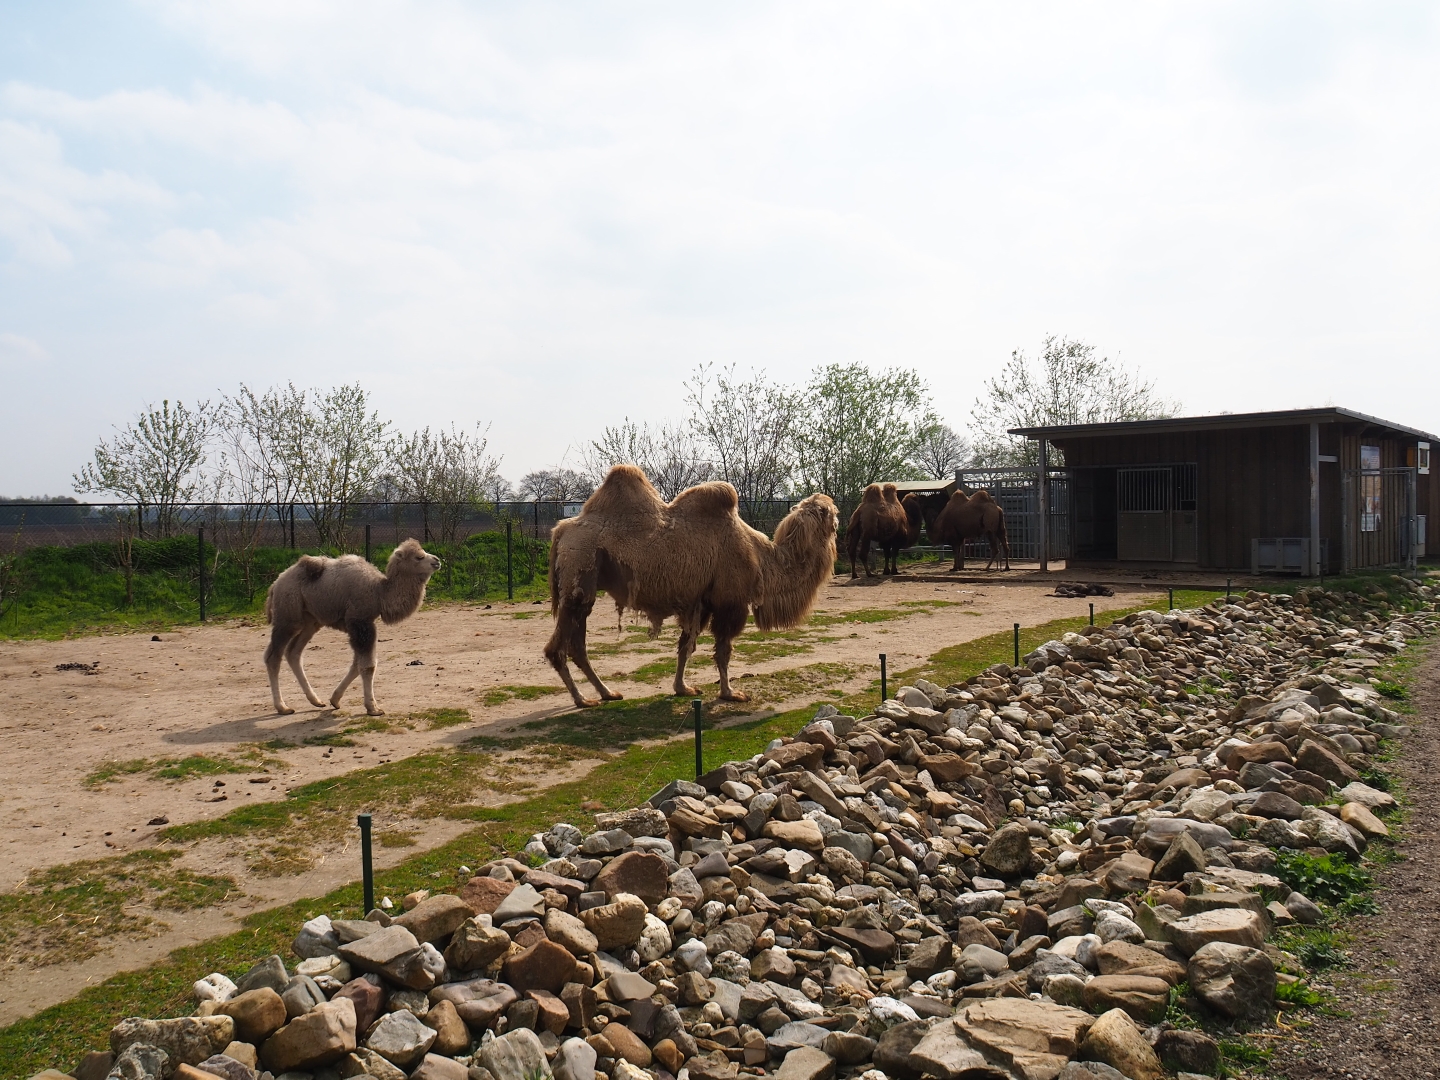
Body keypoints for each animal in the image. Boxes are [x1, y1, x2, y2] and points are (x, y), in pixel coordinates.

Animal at [263, 538, 441, 716]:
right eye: (419, 557)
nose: (437, 560)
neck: (379, 593)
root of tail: (275, 584)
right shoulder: (360, 622)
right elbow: (368, 665)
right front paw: (373, 708)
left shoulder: (358, 627)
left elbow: (357, 664)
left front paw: (335, 700)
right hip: (287, 617)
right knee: (273, 657)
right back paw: (283, 707)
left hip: (310, 621)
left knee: (294, 653)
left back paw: (316, 701)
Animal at [544, 464, 837, 708]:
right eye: (829, 511)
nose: (837, 516)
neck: (761, 559)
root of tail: (560, 530)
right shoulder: (730, 602)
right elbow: (723, 651)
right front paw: (730, 693)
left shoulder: (702, 601)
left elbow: (686, 646)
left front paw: (683, 688)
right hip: (580, 570)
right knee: (557, 648)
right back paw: (583, 699)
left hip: (585, 583)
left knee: (577, 646)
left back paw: (607, 693)